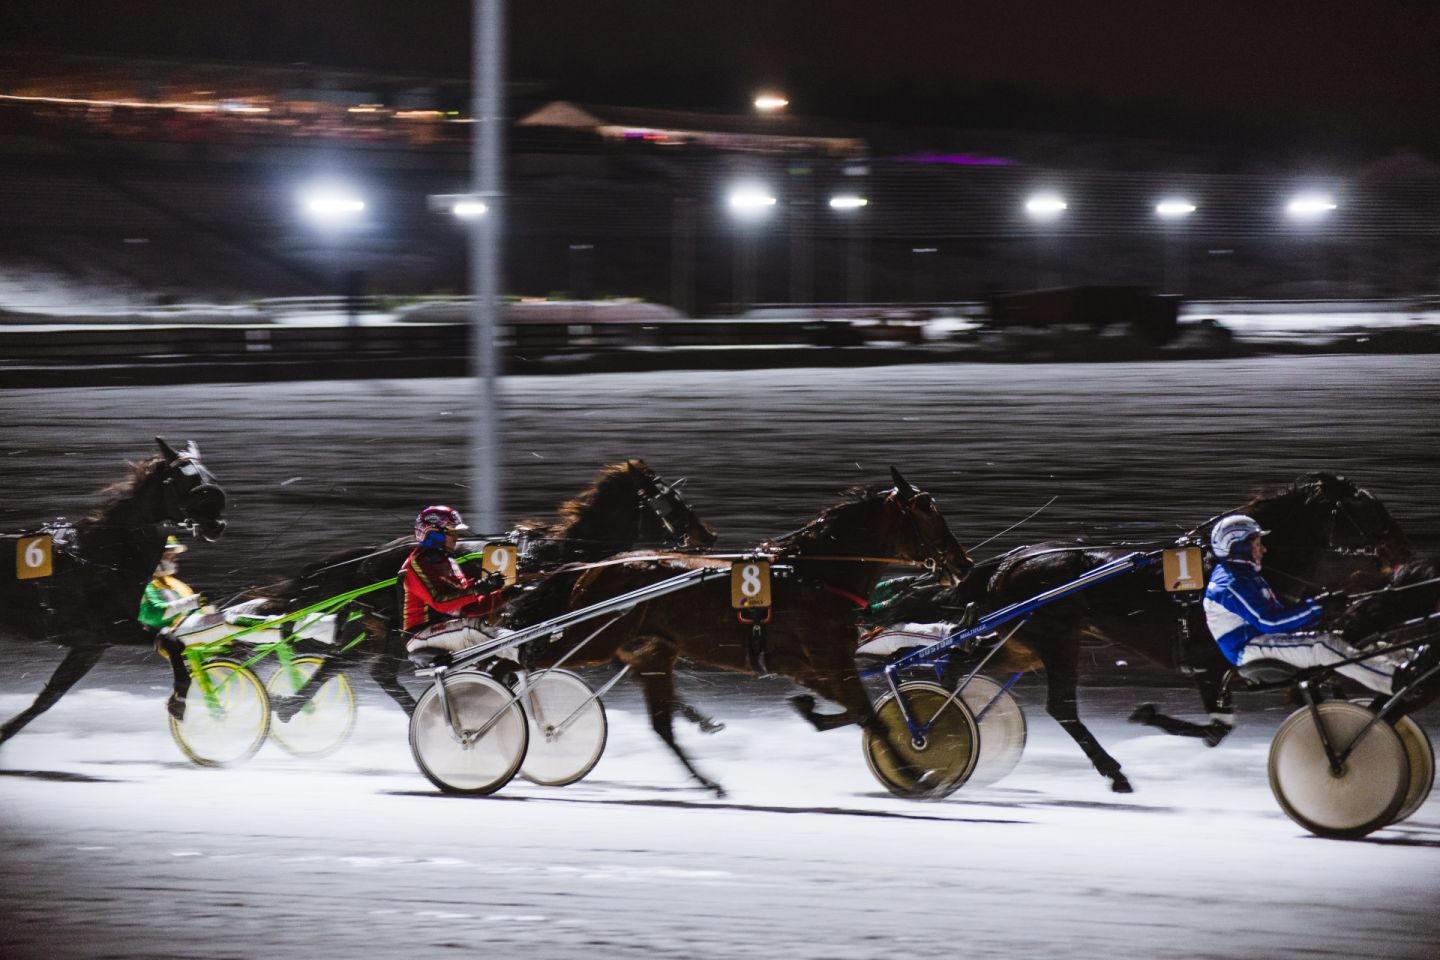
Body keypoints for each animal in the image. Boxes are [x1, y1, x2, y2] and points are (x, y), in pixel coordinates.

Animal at [0, 440, 227, 748]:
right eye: (186, 480)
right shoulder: (109, 627)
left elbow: (47, 699)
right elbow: (171, 640)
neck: (102, 554)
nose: (216, 524)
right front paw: (178, 701)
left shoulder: (90, 645)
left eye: (210, 476)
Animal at [247, 460, 720, 716]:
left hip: (377, 630)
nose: (708, 537)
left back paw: (292, 706)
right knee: (365, 667)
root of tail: (368, 557)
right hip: (395, 629)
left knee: (351, 663)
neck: (561, 554)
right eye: (673, 502)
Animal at [509, 472, 979, 794]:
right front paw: (918, 773)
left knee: (662, 726)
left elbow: (856, 712)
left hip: (651, 651)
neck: (814, 575)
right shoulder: (829, 658)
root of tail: (589, 568)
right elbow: (870, 717)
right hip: (593, 637)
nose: (964, 563)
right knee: (526, 658)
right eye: (928, 514)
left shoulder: (808, 664)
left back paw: (707, 781)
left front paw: (809, 711)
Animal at [864, 472, 1405, 794]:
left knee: (953, 665)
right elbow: (1216, 729)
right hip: (1054, 639)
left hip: (1017, 643)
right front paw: (1148, 715)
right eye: (1368, 508)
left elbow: (1315, 691)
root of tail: (1010, 561)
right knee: (1057, 706)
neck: (1224, 563)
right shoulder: (1209, 662)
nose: (1399, 553)